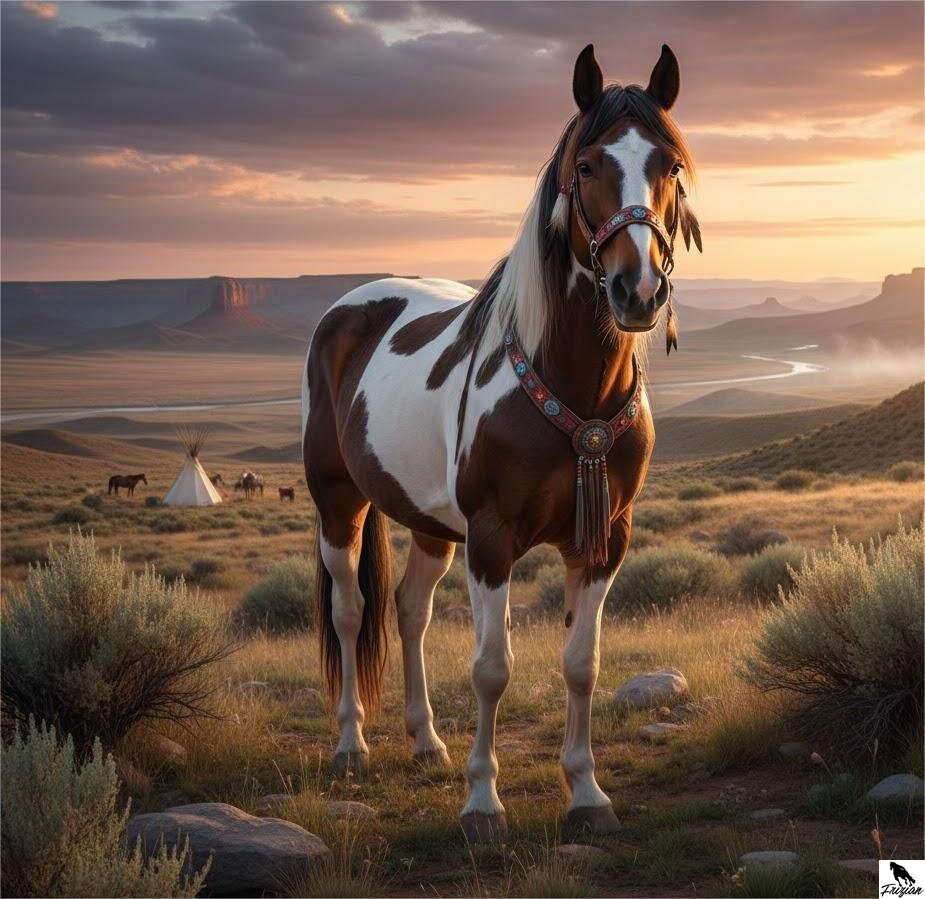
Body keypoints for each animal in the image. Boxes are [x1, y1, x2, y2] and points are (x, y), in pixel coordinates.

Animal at [301, 44, 700, 843]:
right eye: (586, 164)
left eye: (670, 165)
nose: (637, 290)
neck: (574, 391)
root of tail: (347, 307)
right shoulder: (490, 536)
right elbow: (491, 667)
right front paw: (483, 803)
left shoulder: (603, 536)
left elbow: (582, 662)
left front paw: (586, 791)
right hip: (339, 502)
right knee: (350, 611)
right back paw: (351, 745)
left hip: (429, 524)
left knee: (409, 610)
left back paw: (425, 740)